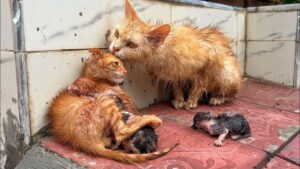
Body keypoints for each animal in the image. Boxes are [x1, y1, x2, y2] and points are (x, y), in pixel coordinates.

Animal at [48, 49, 177, 164]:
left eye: (123, 65)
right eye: (116, 63)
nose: (126, 71)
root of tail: (80, 140)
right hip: (108, 100)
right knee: (121, 132)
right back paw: (152, 119)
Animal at [107, 0, 241, 109]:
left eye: (131, 45)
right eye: (117, 34)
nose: (114, 48)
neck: (167, 50)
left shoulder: (209, 60)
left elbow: (199, 85)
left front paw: (191, 101)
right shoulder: (175, 73)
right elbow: (177, 85)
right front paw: (179, 100)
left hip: (226, 73)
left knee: (233, 93)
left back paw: (219, 98)